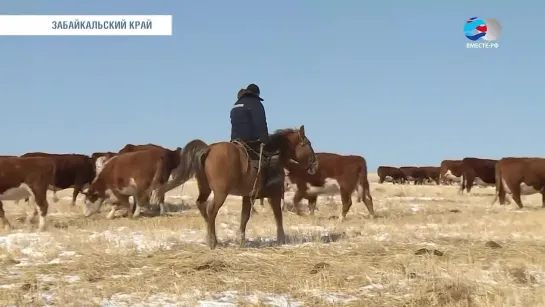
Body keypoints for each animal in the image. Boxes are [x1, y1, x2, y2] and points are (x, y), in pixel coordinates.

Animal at [159, 126, 316, 249]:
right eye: (307, 143)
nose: (315, 163)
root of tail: (208, 149)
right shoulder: (275, 195)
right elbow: (278, 216)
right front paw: (281, 239)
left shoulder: (248, 196)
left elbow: (244, 217)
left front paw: (241, 239)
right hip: (220, 193)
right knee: (211, 209)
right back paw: (212, 241)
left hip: (205, 189)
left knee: (202, 206)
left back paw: (212, 237)